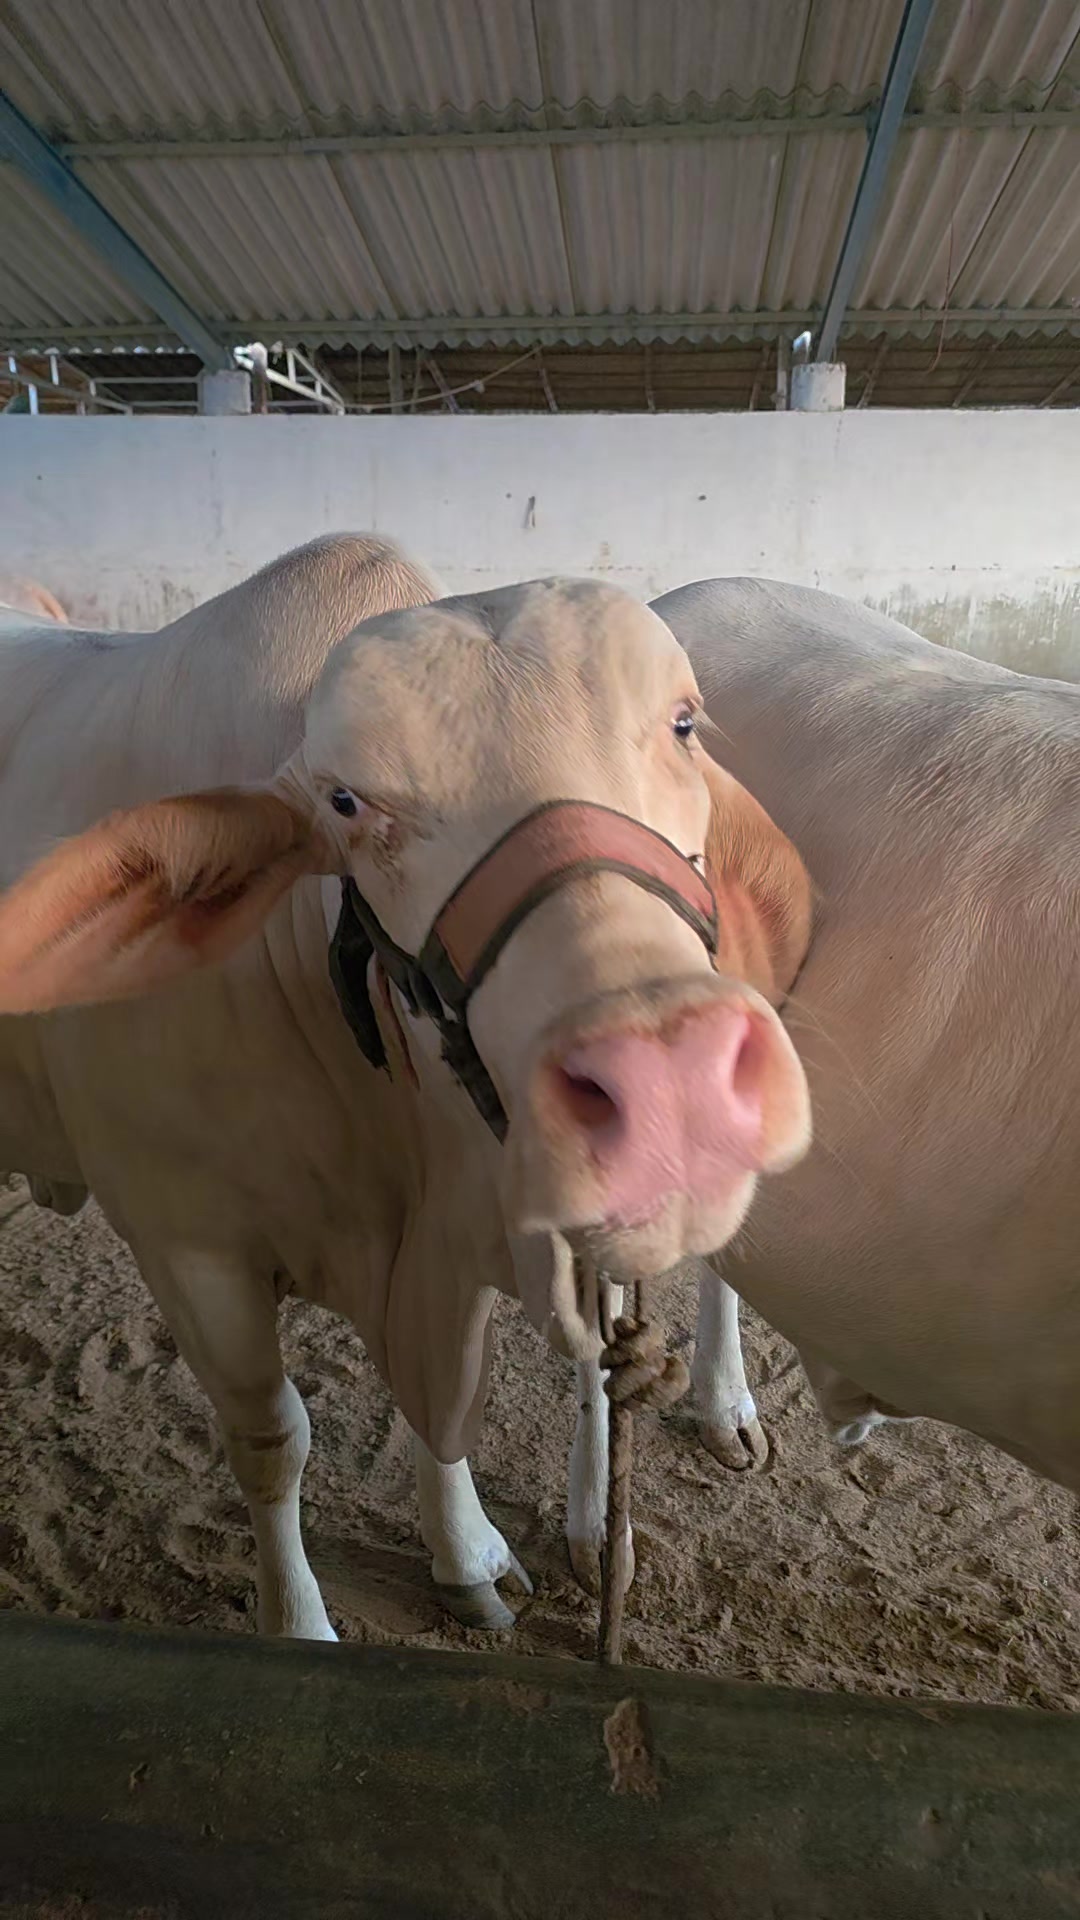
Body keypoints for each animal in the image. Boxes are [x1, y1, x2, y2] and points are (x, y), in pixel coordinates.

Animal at [0, 537, 812, 1639]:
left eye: (684, 722)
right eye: (349, 804)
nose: (671, 1079)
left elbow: (469, 1399)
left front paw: (472, 1551)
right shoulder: (184, 1243)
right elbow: (273, 1441)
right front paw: (301, 1626)